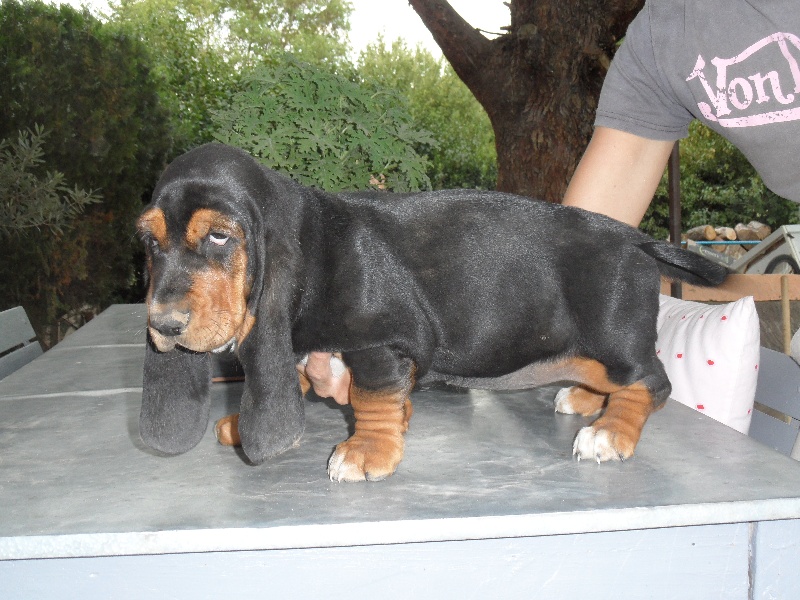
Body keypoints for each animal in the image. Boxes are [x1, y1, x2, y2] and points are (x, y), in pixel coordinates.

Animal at [136, 143, 724, 480]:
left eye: (219, 236)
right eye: (149, 242)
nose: (162, 326)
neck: (311, 241)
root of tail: (633, 237)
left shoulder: (379, 343)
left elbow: (372, 399)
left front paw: (366, 452)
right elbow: (306, 377)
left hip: (613, 334)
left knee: (649, 381)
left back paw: (611, 433)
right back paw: (585, 398)